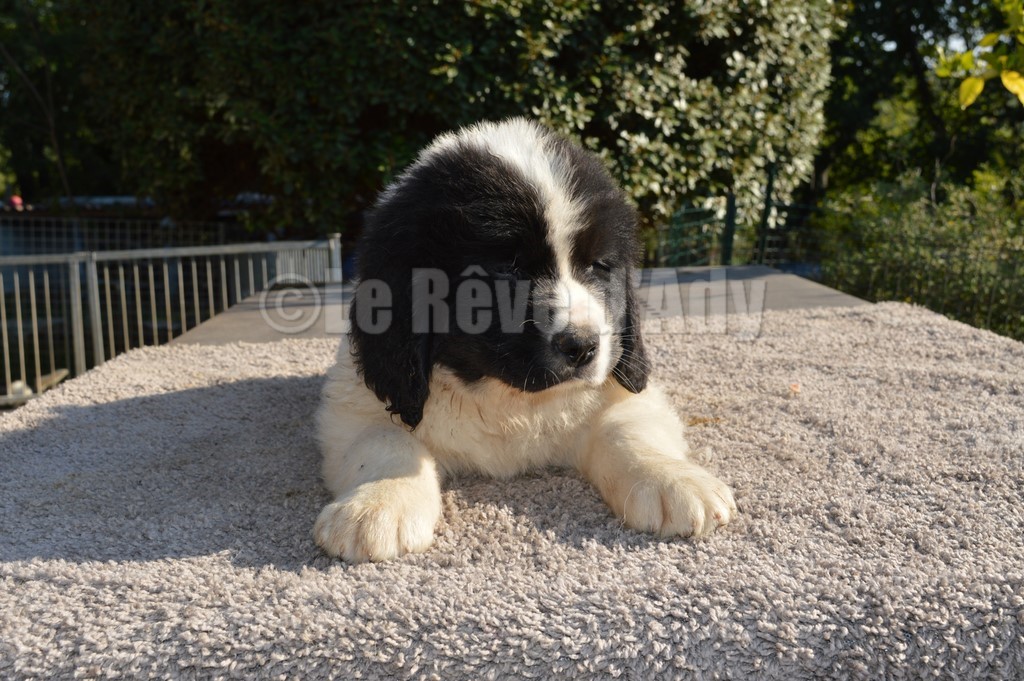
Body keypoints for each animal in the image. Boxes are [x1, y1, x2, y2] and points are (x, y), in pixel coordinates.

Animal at [315, 118, 736, 562]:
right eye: (509, 270)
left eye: (598, 266)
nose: (582, 346)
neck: (509, 398)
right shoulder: (359, 402)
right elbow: (384, 440)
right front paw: (376, 505)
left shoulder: (622, 385)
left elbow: (629, 429)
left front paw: (674, 481)